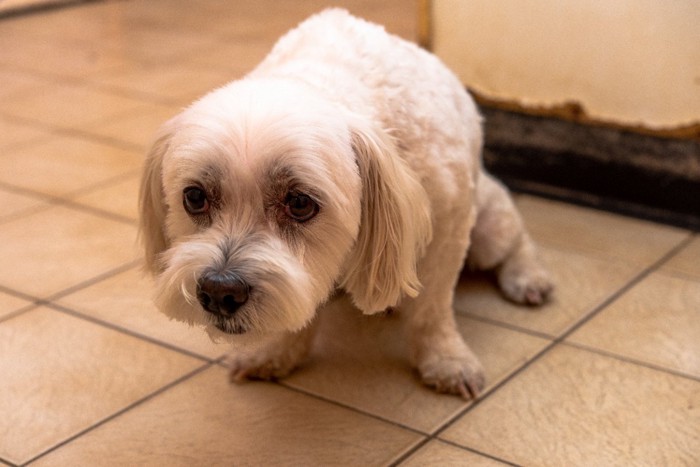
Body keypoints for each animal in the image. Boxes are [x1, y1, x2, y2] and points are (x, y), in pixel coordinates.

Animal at [138, 9, 552, 398]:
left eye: (300, 202)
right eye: (194, 197)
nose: (219, 292)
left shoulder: (449, 226)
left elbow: (432, 308)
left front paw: (445, 358)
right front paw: (277, 350)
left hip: (487, 229)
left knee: (518, 240)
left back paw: (527, 275)